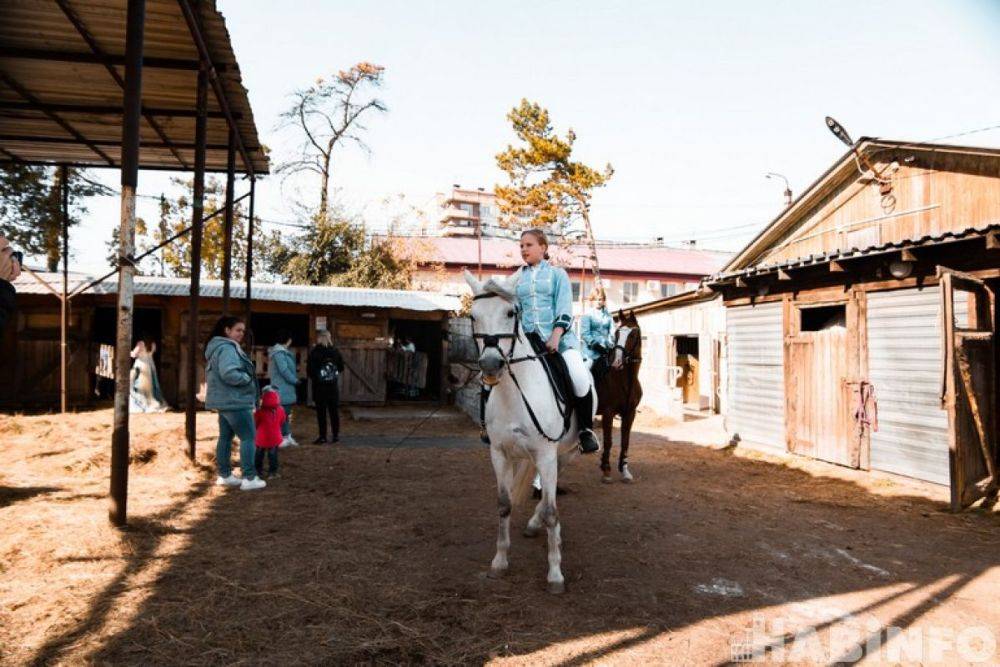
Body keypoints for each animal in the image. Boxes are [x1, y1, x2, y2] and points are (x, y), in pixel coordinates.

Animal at [462, 272, 592, 596]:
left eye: (511, 313)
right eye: (473, 316)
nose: (490, 365)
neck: (514, 391)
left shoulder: (546, 454)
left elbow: (552, 510)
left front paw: (555, 574)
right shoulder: (499, 453)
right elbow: (504, 504)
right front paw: (499, 562)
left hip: (566, 452)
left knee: (551, 494)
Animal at [592, 310, 640, 482]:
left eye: (633, 334)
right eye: (617, 334)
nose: (617, 362)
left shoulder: (630, 413)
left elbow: (625, 442)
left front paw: (624, 470)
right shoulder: (608, 412)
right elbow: (608, 441)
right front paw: (606, 470)